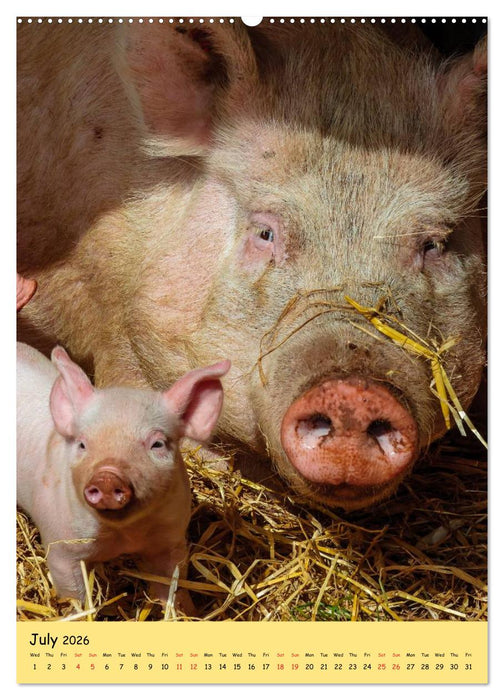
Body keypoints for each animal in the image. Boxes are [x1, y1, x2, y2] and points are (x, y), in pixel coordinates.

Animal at [17, 341, 230, 606]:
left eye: (157, 444)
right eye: (82, 444)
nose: (108, 476)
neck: (124, 535)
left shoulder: (171, 539)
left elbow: (173, 587)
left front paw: (186, 611)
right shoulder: (61, 546)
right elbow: (74, 596)